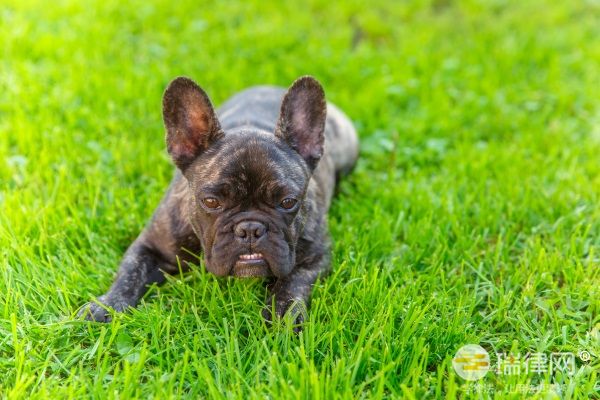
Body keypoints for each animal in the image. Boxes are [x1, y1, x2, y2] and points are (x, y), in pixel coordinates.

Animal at [77, 76, 358, 328]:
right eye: (211, 202)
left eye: (288, 202)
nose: (250, 229)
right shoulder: (150, 246)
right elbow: (129, 274)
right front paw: (106, 306)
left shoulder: (315, 256)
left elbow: (294, 281)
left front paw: (285, 316)